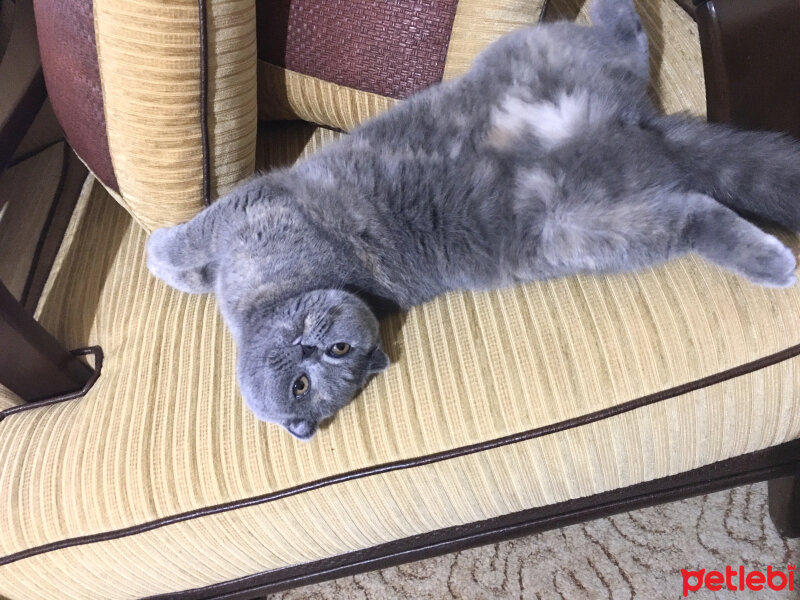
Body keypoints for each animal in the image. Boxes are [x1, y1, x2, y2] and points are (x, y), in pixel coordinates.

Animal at [147, 0, 800, 440]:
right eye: (308, 379)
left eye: (331, 356)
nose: (312, 346)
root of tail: (632, 132)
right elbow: (201, 258)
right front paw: (185, 271)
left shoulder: (261, 202)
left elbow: (195, 236)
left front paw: (160, 252)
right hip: (591, 227)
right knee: (692, 208)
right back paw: (771, 259)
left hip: (529, 58)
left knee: (624, 47)